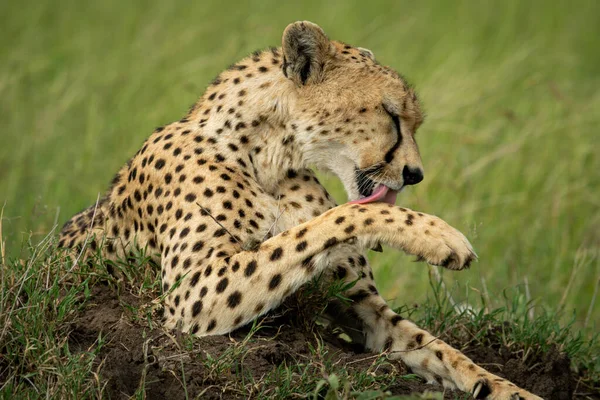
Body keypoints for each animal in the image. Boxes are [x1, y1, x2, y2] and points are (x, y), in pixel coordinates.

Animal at [61, 22, 544, 400]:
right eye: (391, 114)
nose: (415, 174)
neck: (268, 156)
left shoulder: (365, 310)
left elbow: (443, 351)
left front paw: (509, 389)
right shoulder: (191, 295)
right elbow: (332, 220)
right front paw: (435, 235)